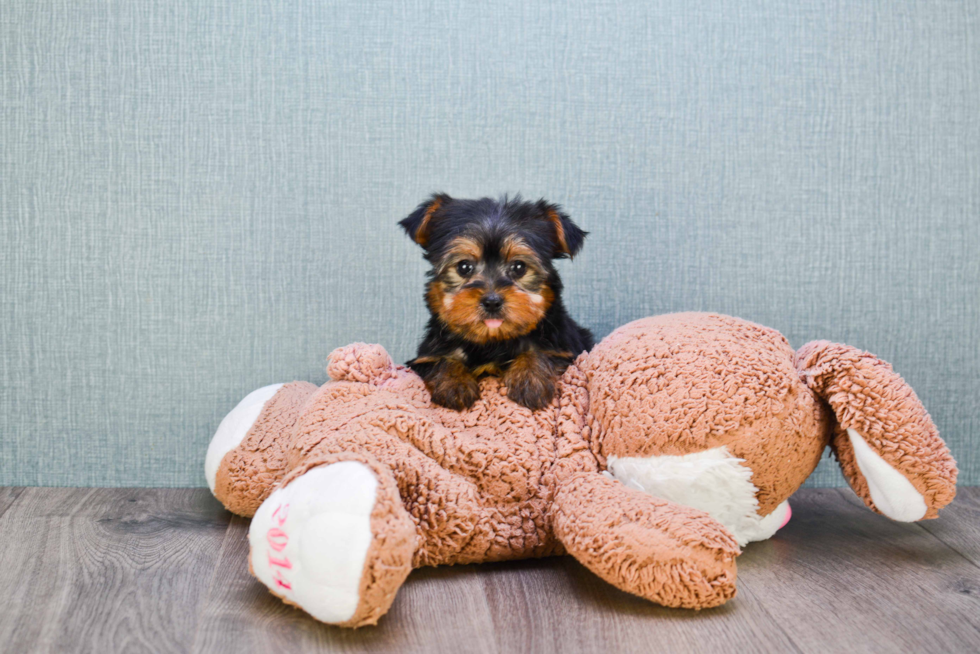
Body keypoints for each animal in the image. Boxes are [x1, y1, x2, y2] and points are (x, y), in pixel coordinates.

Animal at [400, 192, 596, 412]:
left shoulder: (568, 351)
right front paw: (454, 384)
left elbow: (541, 352)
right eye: (463, 266)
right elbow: (440, 360)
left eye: (519, 267)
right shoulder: (422, 359)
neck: (492, 342)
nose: (492, 301)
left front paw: (531, 380)